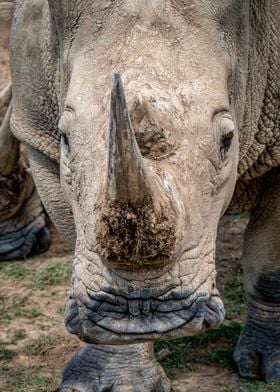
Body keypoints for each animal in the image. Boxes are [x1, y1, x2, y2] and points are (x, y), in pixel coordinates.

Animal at [9, 0, 280, 390]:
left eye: (227, 141)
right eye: (65, 139)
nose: (145, 309)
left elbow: (270, 264)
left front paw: (269, 367)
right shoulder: (38, 134)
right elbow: (80, 233)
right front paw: (118, 371)